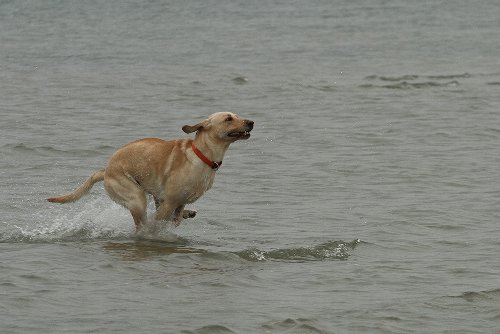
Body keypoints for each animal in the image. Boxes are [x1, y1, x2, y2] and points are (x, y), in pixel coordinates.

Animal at [47, 112, 254, 230]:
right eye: (228, 119)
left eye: (237, 115)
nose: (252, 122)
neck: (202, 155)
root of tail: (105, 171)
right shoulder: (169, 202)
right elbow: (161, 222)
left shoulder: (176, 202)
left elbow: (177, 217)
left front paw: (184, 215)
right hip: (136, 198)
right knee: (143, 225)